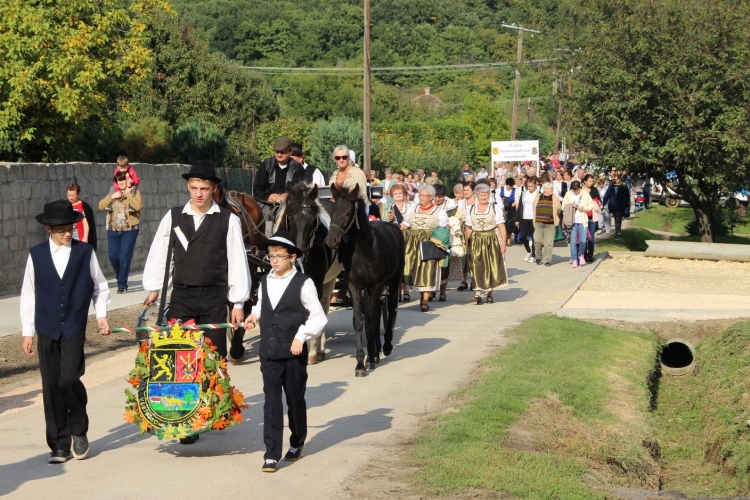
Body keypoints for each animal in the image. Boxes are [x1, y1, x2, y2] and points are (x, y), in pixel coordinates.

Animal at [324, 184, 406, 376]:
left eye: (348, 212)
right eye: (331, 210)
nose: (331, 240)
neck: (364, 250)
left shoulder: (377, 285)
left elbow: (373, 317)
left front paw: (372, 355)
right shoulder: (354, 284)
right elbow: (360, 320)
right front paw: (361, 363)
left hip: (394, 279)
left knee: (390, 308)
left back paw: (386, 347)